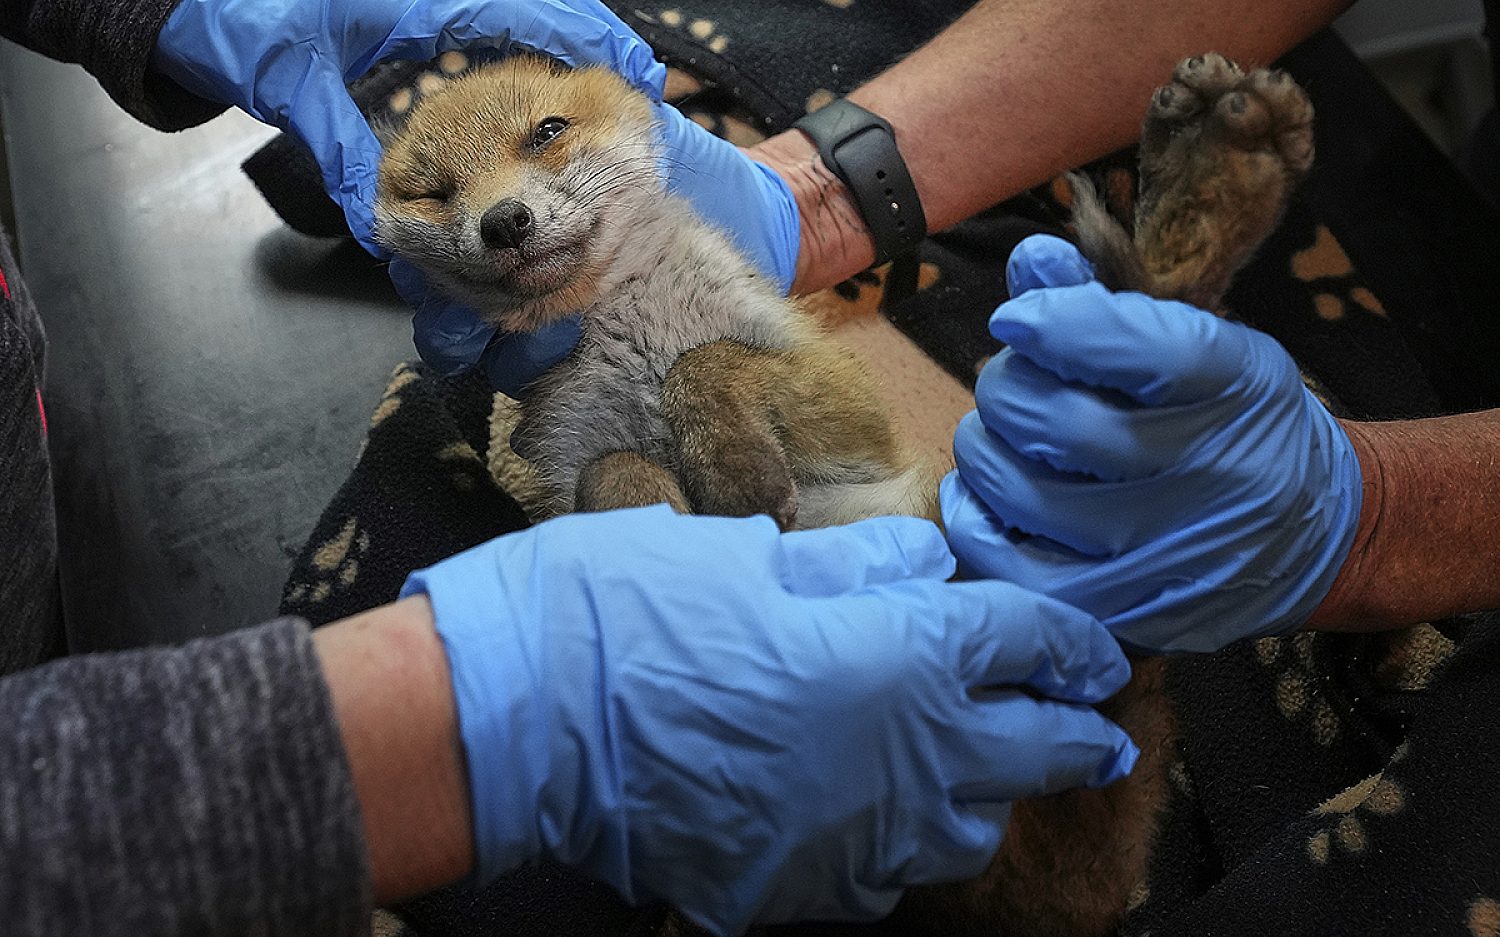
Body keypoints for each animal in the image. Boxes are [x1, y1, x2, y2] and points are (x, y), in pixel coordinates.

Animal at [375, 52, 1313, 937]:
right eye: (434, 191)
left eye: (546, 131)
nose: (503, 221)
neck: (624, 330)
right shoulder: (566, 473)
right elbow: (614, 476)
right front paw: (677, 543)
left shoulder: (842, 402)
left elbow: (705, 364)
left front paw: (731, 473)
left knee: (1163, 314)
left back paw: (1225, 155)